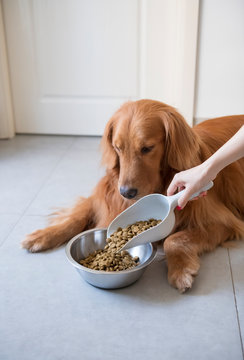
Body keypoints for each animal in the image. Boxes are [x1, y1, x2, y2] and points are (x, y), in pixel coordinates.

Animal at [21, 98, 244, 292]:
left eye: (147, 148)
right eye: (117, 147)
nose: (126, 193)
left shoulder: (224, 222)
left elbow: (175, 239)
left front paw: (180, 271)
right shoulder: (104, 198)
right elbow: (76, 216)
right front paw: (43, 235)